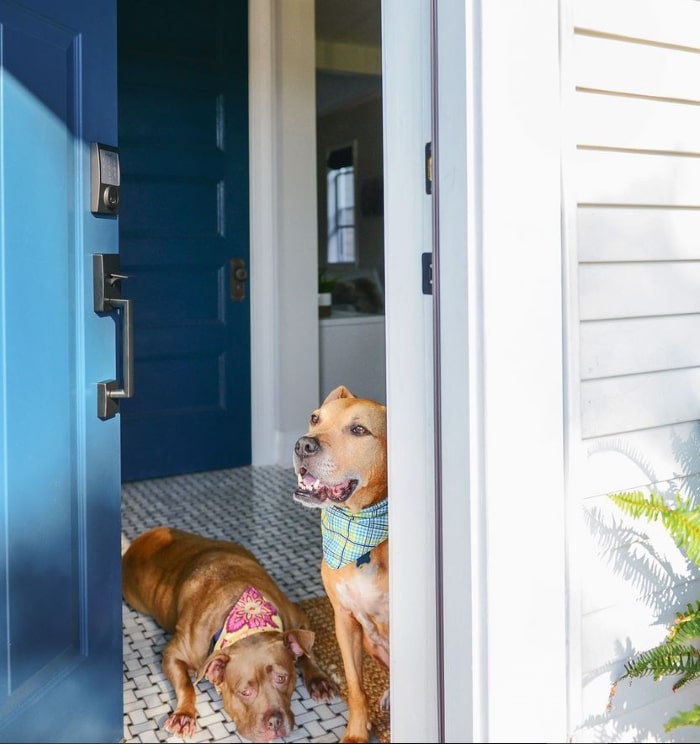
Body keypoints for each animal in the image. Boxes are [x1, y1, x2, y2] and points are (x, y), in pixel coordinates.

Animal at [121, 528, 340, 740]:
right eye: (245, 692)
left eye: (282, 679)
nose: (275, 722)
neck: (248, 621)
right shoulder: (173, 654)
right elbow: (186, 685)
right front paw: (184, 715)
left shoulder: (298, 618)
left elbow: (306, 653)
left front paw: (318, 680)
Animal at [290, 386, 388, 744]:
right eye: (315, 418)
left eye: (359, 430)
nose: (303, 445)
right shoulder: (344, 619)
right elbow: (356, 687)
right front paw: (357, 733)